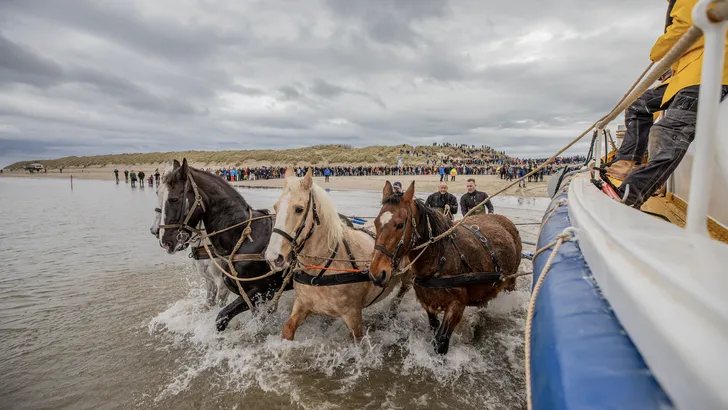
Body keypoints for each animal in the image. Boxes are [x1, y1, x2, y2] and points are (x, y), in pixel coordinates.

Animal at [264, 168, 410, 342]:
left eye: (299, 209)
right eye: (276, 207)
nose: (273, 257)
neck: (323, 266)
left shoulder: (353, 316)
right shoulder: (302, 304)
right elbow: (288, 329)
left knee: (403, 291)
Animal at [370, 181, 524, 354]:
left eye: (400, 225)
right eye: (376, 222)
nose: (377, 273)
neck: (440, 255)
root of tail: (504, 220)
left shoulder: (456, 305)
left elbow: (441, 341)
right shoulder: (427, 301)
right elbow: (434, 326)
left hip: (510, 281)